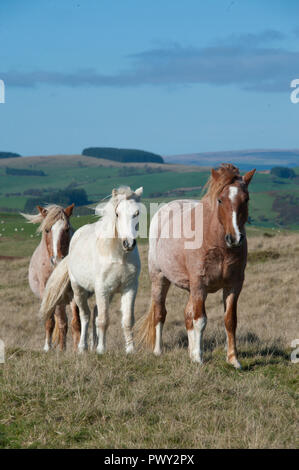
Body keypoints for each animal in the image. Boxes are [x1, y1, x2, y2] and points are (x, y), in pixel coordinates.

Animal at [21, 204, 81, 350]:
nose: (57, 259)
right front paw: (49, 348)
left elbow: (76, 323)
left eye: (67, 229)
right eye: (47, 230)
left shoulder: (73, 292)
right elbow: (52, 322)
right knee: (59, 321)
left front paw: (78, 350)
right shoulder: (49, 294)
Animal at [40, 185, 144, 354]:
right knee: (85, 316)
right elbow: (103, 320)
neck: (118, 256)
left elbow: (127, 320)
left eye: (137, 213)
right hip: (79, 291)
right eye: (117, 214)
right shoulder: (102, 289)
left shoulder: (130, 288)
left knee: (93, 314)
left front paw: (130, 350)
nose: (128, 243)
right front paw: (101, 349)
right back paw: (82, 347)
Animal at [137, 163, 256, 370]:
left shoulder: (233, 286)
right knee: (160, 313)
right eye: (220, 200)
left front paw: (233, 359)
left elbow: (230, 320)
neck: (218, 246)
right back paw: (159, 351)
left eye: (246, 199)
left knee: (187, 315)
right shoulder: (200, 285)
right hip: (160, 279)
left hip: (191, 288)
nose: (235, 238)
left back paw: (190, 352)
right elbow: (200, 320)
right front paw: (199, 358)